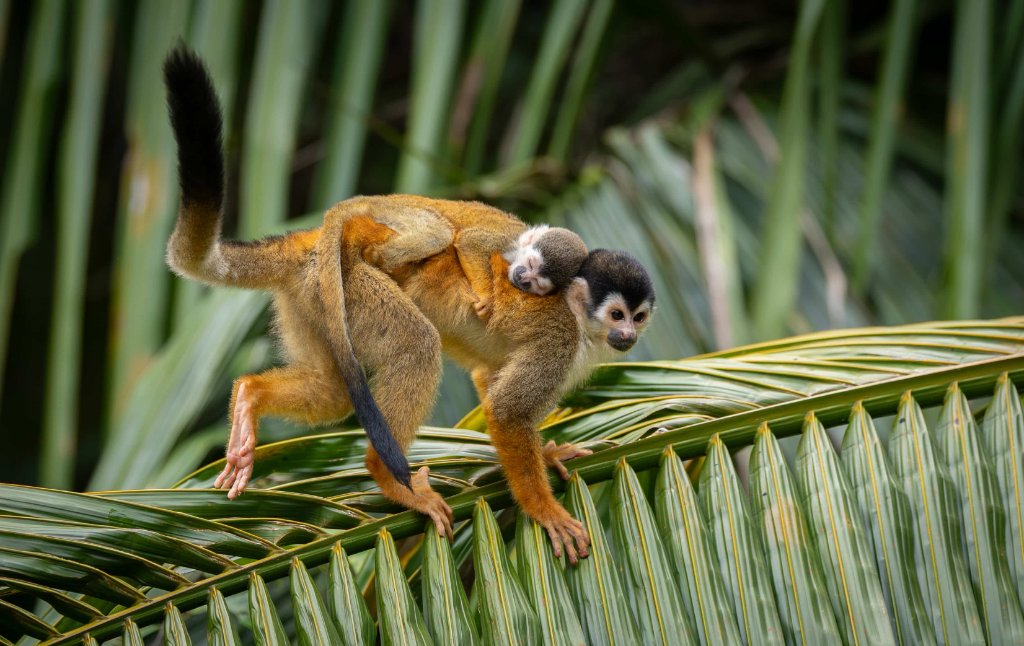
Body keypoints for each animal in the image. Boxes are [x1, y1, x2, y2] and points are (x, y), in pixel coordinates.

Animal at [163, 47, 655, 562]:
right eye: (617, 315)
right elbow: (507, 412)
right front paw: (544, 510)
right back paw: (388, 474)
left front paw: (550, 454)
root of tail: (314, 242)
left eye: (639, 318)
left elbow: (488, 377)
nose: (627, 335)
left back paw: (250, 397)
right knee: (416, 343)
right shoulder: (557, 341)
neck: (581, 325)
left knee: (336, 391)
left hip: (313, 300)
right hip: (355, 287)